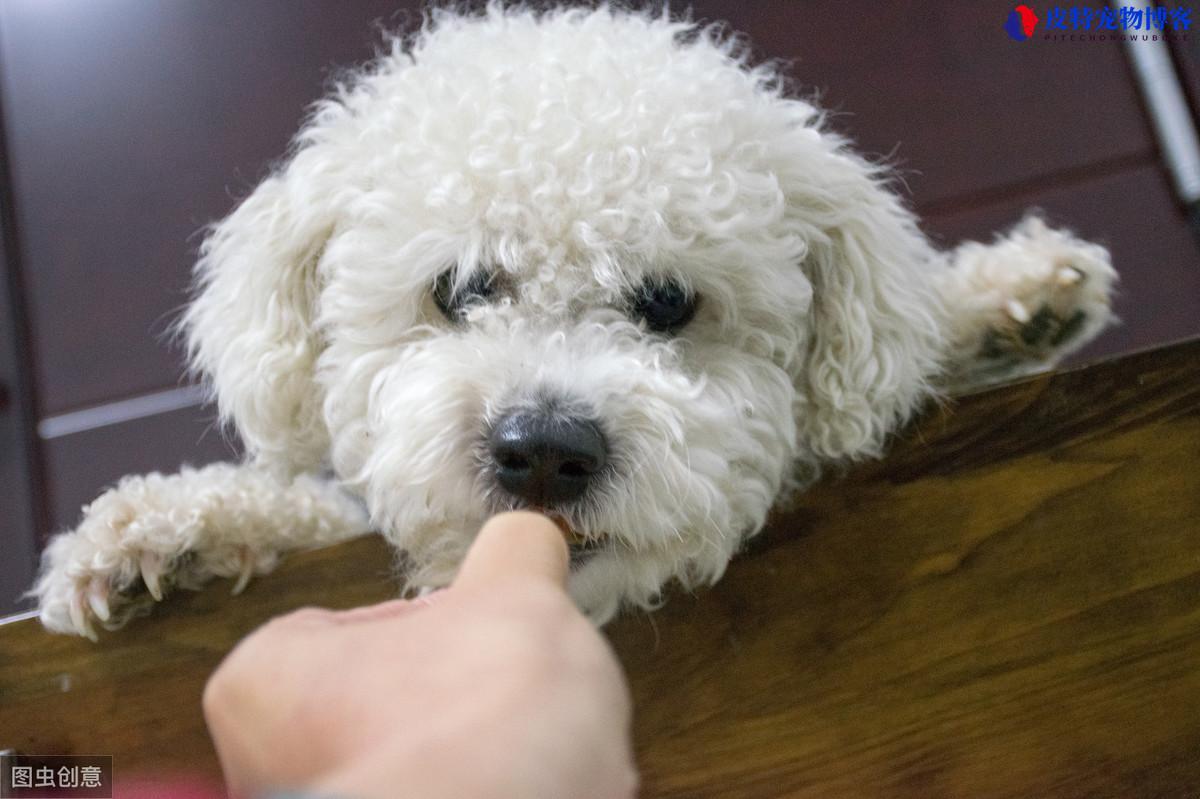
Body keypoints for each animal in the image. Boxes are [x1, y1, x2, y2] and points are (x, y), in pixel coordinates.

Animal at [30, 4, 1113, 633]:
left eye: (667, 300)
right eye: (461, 287)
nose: (546, 449)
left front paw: (1001, 301)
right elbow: (304, 509)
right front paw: (153, 536)